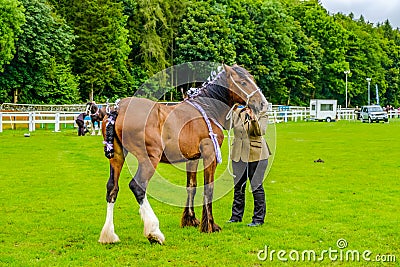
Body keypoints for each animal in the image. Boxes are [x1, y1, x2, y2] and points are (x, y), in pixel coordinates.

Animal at [98, 64, 268, 245]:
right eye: (243, 82)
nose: (262, 103)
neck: (207, 110)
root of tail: (118, 108)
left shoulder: (192, 158)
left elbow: (191, 186)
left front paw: (191, 220)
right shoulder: (210, 156)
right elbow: (209, 188)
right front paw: (210, 226)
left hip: (117, 157)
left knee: (112, 188)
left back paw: (109, 235)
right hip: (150, 158)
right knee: (138, 186)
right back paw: (154, 232)